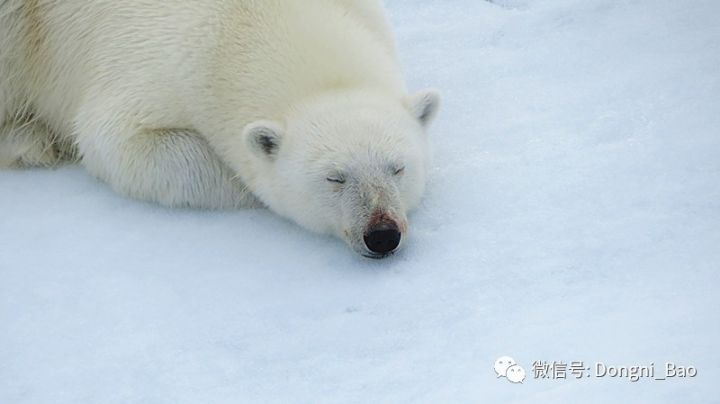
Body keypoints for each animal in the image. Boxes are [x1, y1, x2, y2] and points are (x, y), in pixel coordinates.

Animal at [0, 0, 438, 258]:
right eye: (335, 178)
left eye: (398, 168)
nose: (382, 234)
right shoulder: (148, 64)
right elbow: (119, 144)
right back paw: (27, 141)